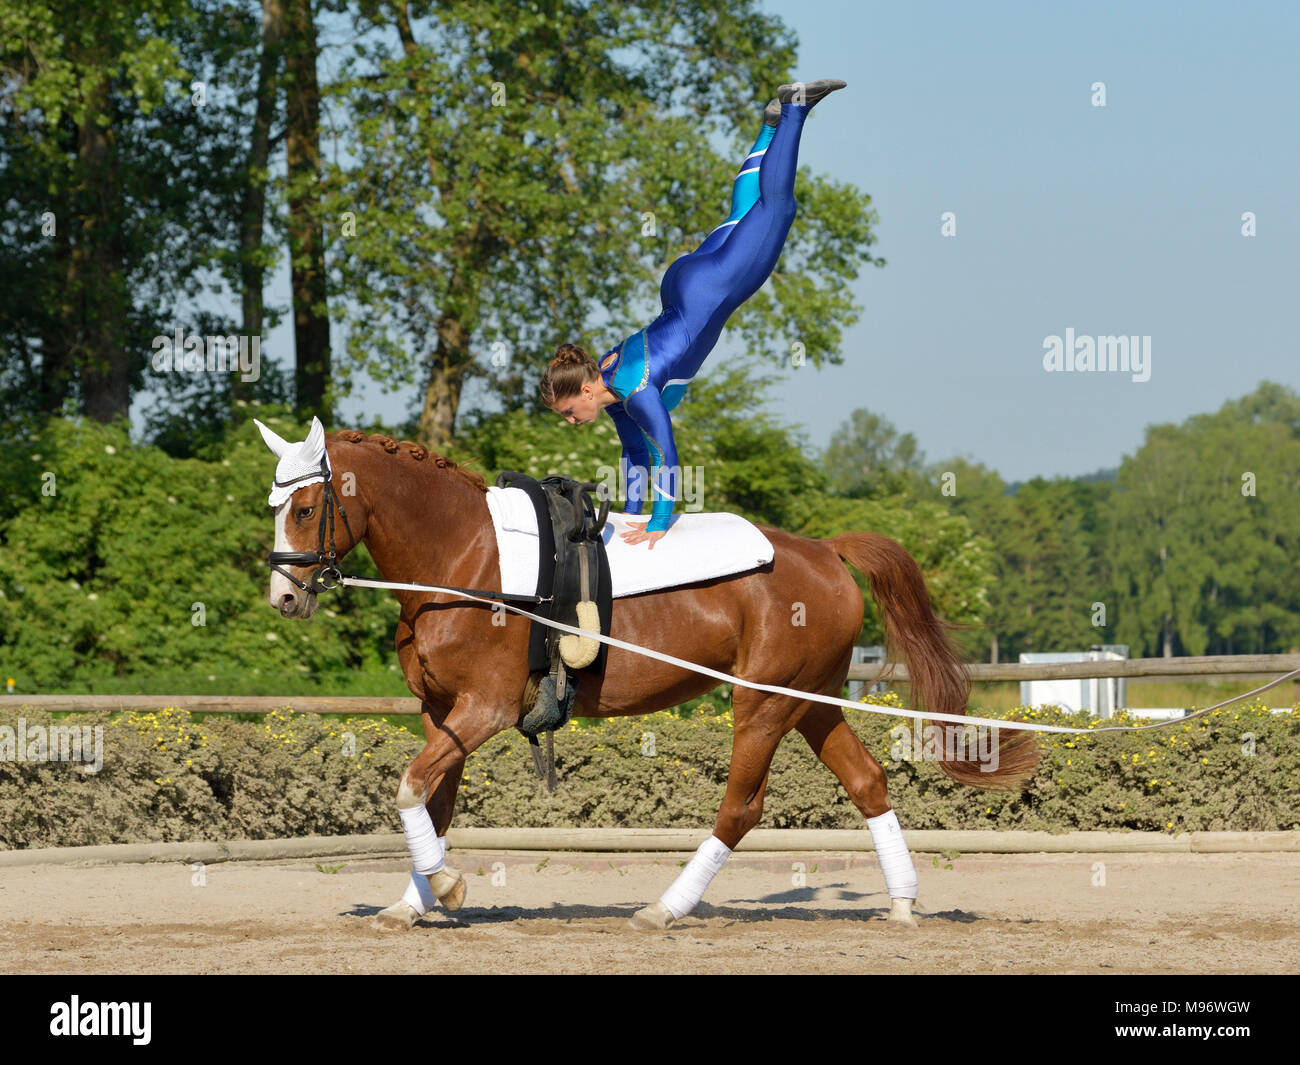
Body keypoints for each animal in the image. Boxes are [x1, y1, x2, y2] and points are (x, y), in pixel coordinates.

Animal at [258, 421, 1040, 931]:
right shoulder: (439, 711)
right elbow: (434, 800)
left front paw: (444, 887)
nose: (284, 599)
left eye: (305, 507)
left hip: (762, 703)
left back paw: (665, 908)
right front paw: (414, 900)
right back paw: (903, 903)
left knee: (741, 808)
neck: (465, 559)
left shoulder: (483, 708)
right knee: (869, 782)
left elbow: (411, 786)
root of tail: (823, 549)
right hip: (810, 700)